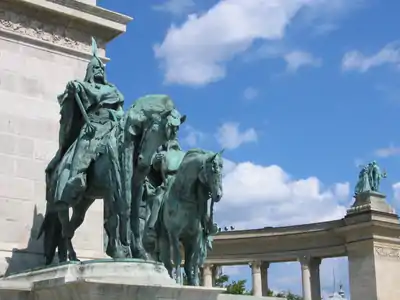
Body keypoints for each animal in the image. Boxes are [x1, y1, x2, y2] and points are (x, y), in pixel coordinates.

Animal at [38, 95, 186, 264]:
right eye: (154, 130)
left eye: (166, 137)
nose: (144, 162)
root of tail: (56, 166)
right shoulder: (111, 188)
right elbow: (113, 220)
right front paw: (117, 252)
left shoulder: (136, 187)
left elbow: (134, 219)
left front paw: (139, 252)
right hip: (62, 199)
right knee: (63, 224)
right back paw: (69, 257)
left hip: (82, 203)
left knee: (69, 227)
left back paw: (68, 258)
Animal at [157, 149, 223, 284]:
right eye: (214, 170)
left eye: (222, 171)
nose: (219, 195)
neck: (185, 200)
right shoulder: (174, 234)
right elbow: (177, 258)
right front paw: (178, 282)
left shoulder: (194, 236)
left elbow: (194, 261)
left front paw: (195, 283)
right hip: (164, 239)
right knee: (167, 262)